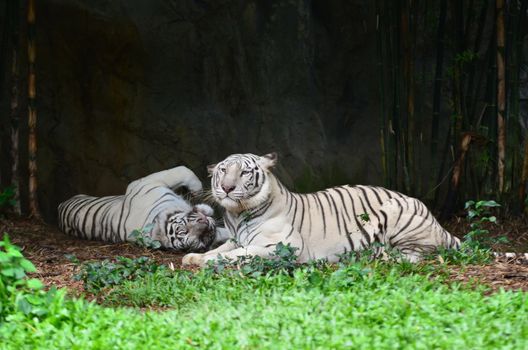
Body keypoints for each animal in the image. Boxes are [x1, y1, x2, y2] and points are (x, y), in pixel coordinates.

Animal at [58, 166, 227, 252]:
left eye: (183, 230)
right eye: (200, 240)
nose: (207, 226)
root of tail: (60, 206)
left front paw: (196, 192)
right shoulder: (146, 182)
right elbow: (182, 170)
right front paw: (198, 190)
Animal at [183, 152, 462, 266]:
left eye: (243, 172)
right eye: (223, 170)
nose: (227, 188)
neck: (237, 215)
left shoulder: (283, 246)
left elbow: (238, 254)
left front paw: (205, 261)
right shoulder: (234, 238)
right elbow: (221, 248)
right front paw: (193, 257)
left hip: (398, 215)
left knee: (415, 255)